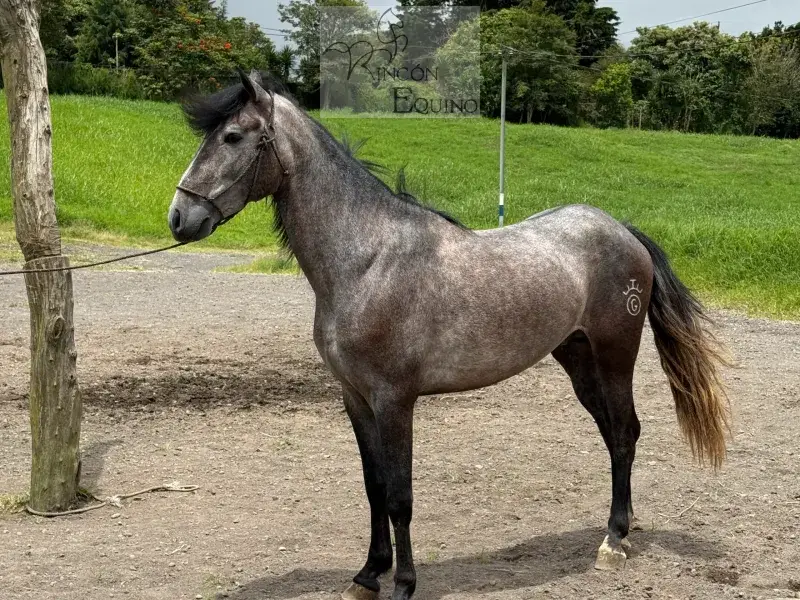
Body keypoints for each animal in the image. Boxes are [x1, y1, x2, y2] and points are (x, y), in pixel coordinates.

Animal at [168, 70, 730, 600]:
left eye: (233, 137)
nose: (179, 217)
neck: (367, 260)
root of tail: (621, 229)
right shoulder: (356, 399)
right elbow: (374, 487)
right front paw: (368, 575)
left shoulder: (395, 399)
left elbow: (400, 495)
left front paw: (403, 583)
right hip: (578, 360)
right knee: (614, 435)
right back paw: (620, 527)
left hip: (616, 356)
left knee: (625, 434)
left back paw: (614, 541)